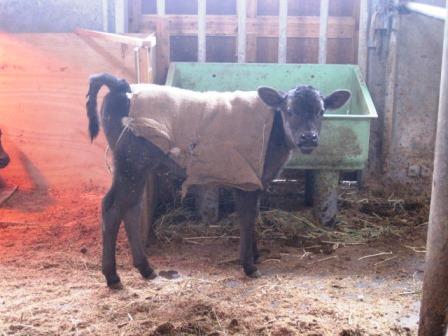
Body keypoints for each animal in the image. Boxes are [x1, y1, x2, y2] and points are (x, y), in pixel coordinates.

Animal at [85, 74, 350, 288]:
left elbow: (253, 214)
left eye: (321, 111)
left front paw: (255, 254)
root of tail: (122, 85)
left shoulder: (254, 179)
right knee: (112, 208)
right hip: (131, 162)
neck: (272, 130)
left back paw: (145, 268)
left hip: (136, 168)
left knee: (130, 208)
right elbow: (247, 217)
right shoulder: (248, 177)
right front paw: (249, 265)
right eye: (290, 110)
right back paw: (112, 276)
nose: (309, 137)